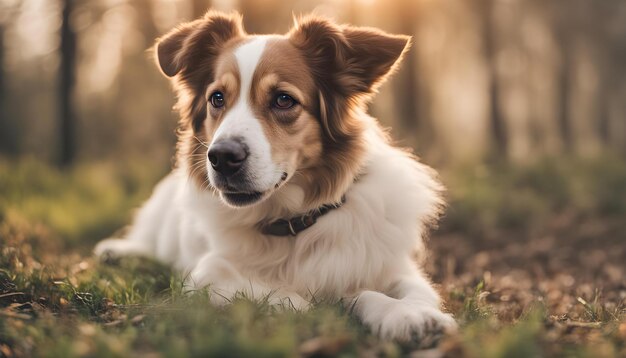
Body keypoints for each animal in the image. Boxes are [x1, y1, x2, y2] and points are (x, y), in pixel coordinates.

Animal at [95, 10, 456, 342]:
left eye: (283, 99)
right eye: (217, 98)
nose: (221, 157)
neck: (291, 221)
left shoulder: (397, 268)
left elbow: (404, 292)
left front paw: (407, 315)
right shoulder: (207, 273)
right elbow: (275, 294)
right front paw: (319, 307)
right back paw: (117, 251)